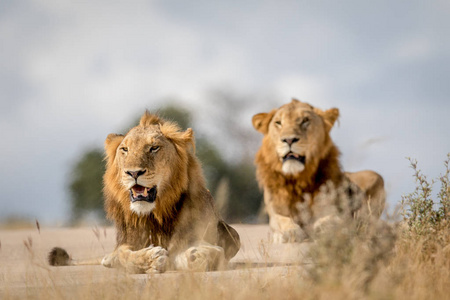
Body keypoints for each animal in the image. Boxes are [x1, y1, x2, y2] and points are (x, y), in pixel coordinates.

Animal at [47, 111, 241, 274]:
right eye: (124, 149)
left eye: (154, 148)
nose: (133, 173)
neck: (155, 214)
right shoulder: (125, 243)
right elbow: (122, 256)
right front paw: (150, 259)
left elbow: (207, 254)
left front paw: (194, 255)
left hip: (232, 234)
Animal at [251, 99, 384, 243]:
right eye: (278, 123)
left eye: (305, 120)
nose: (289, 140)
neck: (298, 180)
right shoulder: (275, 212)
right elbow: (281, 220)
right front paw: (289, 232)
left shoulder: (331, 209)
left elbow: (331, 218)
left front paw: (324, 228)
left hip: (374, 176)